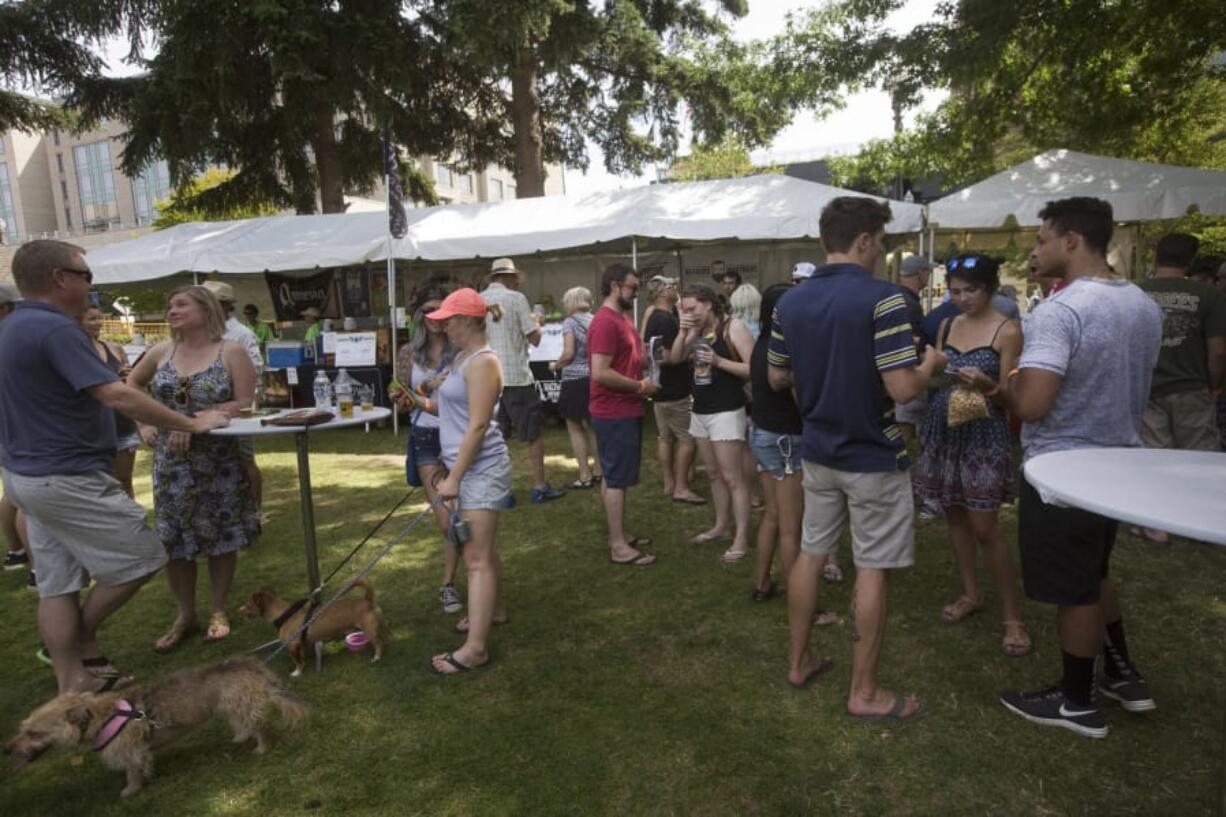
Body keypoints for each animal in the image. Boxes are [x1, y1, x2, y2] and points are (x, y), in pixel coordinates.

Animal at [3, 657, 306, 794]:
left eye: (33, 732)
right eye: (23, 727)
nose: (6, 749)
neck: (101, 716)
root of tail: (247, 664)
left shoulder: (131, 751)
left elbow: (133, 771)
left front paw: (131, 790)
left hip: (242, 706)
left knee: (261, 727)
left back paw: (261, 747)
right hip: (231, 708)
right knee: (246, 725)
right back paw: (242, 737)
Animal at [237, 576, 387, 672]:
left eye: (248, 606)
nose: (239, 611)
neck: (284, 614)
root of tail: (367, 600)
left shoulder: (292, 645)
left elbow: (296, 661)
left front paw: (296, 673)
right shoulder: (301, 644)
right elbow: (302, 657)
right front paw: (304, 666)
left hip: (369, 630)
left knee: (378, 643)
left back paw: (376, 658)